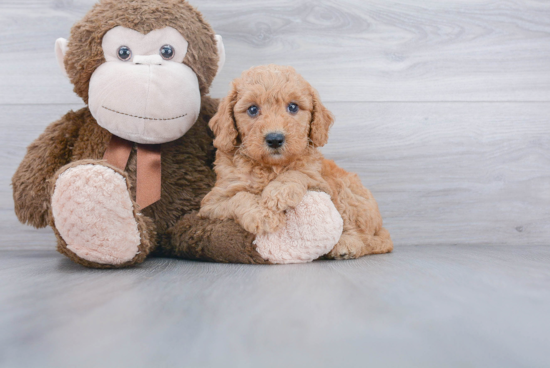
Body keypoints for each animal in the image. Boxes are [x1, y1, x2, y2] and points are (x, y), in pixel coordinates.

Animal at [201, 64, 394, 258]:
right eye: (252, 109)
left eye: (293, 107)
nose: (275, 139)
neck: (271, 167)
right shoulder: (212, 204)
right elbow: (239, 197)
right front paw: (263, 214)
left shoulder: (321, 183)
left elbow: (298, 173)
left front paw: (278, 191)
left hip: (348, 193)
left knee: (373, 237)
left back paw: (347, 244)